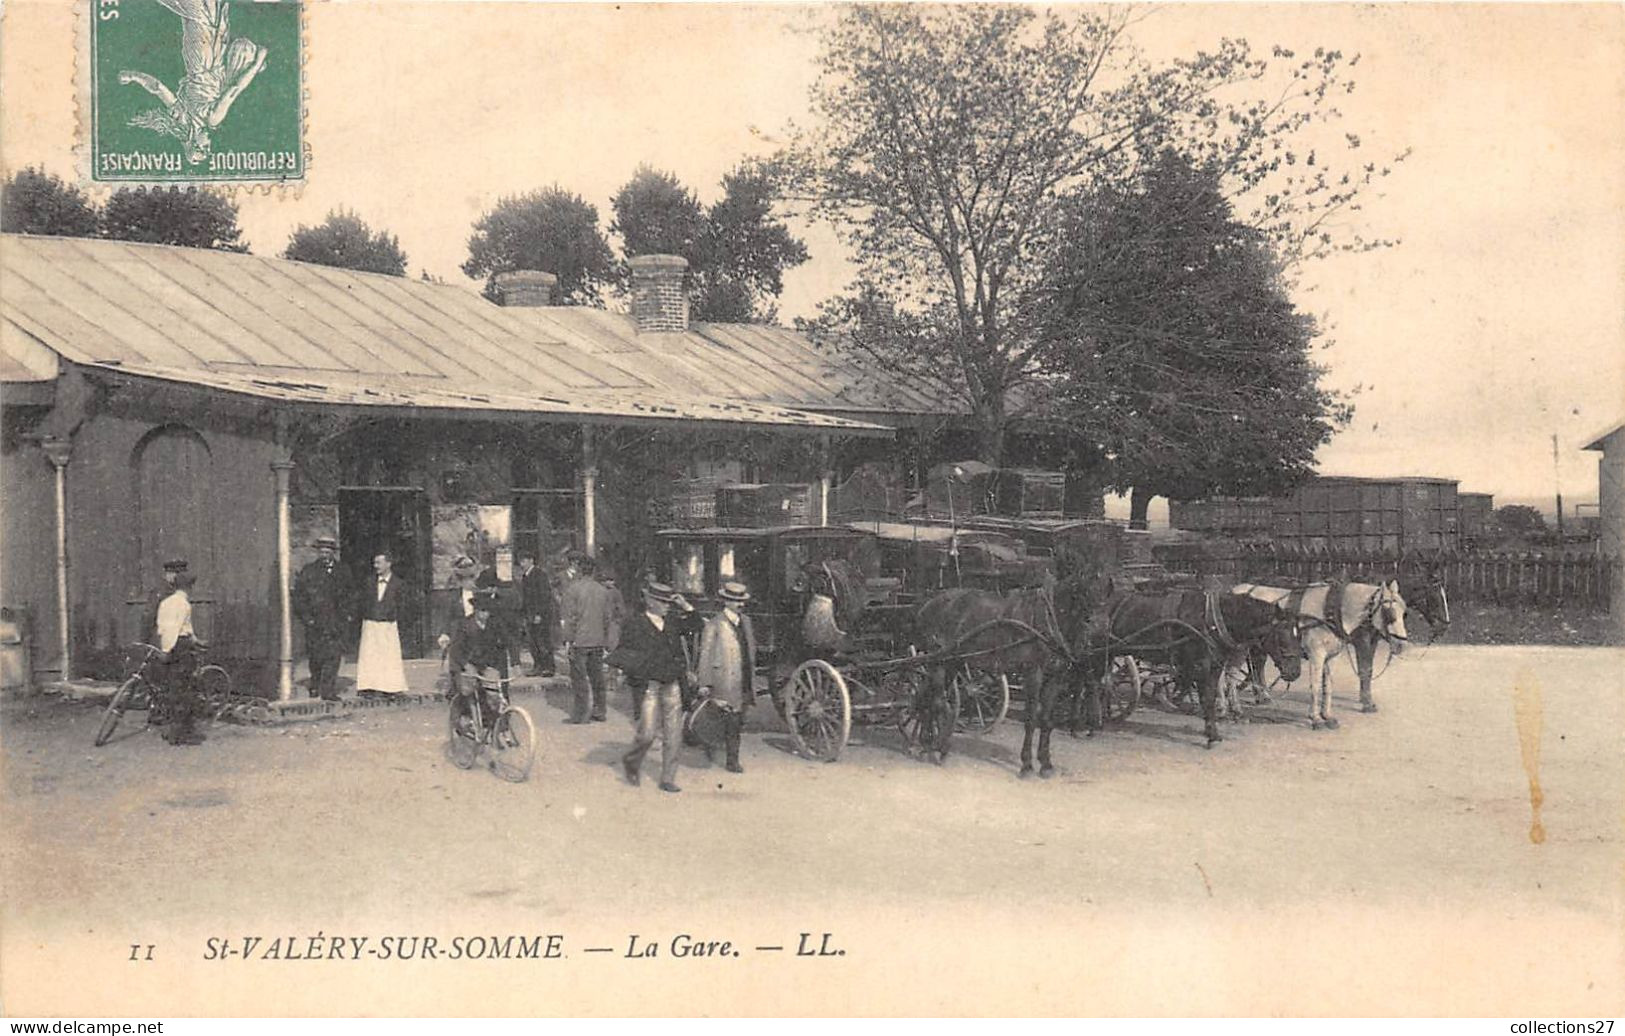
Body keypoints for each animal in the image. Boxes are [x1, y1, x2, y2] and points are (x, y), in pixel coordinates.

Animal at [1092, 591, 1306, 746]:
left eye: (1298, 634)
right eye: (1282, 635)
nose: (1295, 672)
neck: (1212, 621)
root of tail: (1103, 604)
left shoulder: (1214, 667)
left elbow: (1210, 695)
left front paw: (1212, 730)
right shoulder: (1202, 666)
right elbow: (1207, 699)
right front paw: (1211, 734)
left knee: (1105, 681)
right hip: (1101, 651)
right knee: (1098, 682)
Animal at [1228, 581, 1410, 733]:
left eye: (1404, 612)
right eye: (1389, 612)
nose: (1401, 644)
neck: (1330, 613)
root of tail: (1235, 589)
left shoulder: (1331, 657)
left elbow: (1328, 686)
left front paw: (1327, 716)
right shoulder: (1317, 655)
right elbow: (1315, 686)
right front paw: (1315, 719)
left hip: (1258, 648)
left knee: (1256, 666)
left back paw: (1262, 697)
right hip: (1240, 648)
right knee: (1231, 675)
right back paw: (1236, 710)